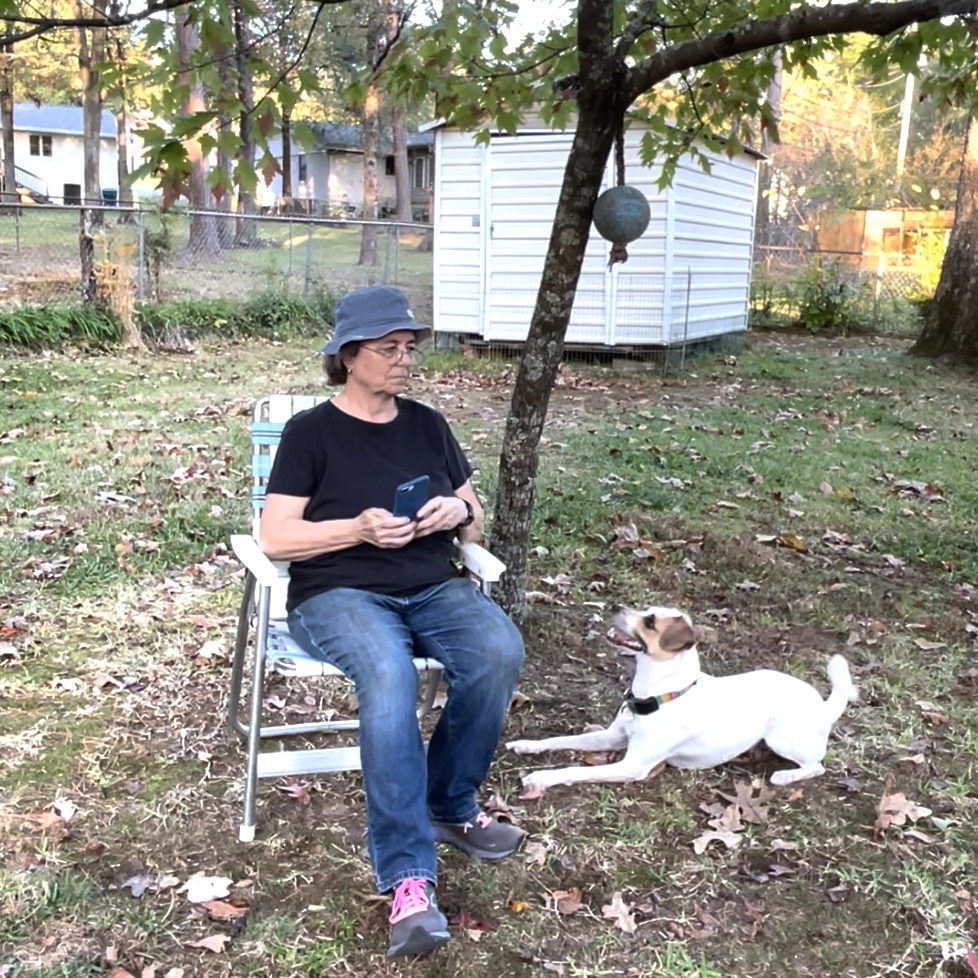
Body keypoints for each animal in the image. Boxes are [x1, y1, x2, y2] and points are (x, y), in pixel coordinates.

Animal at [508, 604, 856, 792]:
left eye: (649, 621)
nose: (615, 606)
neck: (660, 694)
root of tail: (823, 706)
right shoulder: (610, 737)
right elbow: (560, 740)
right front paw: (527, 745)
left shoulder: (633, 765)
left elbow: (574, 770)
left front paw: (542, 777)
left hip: (783, 738)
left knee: (816, 766)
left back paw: (786, 775)